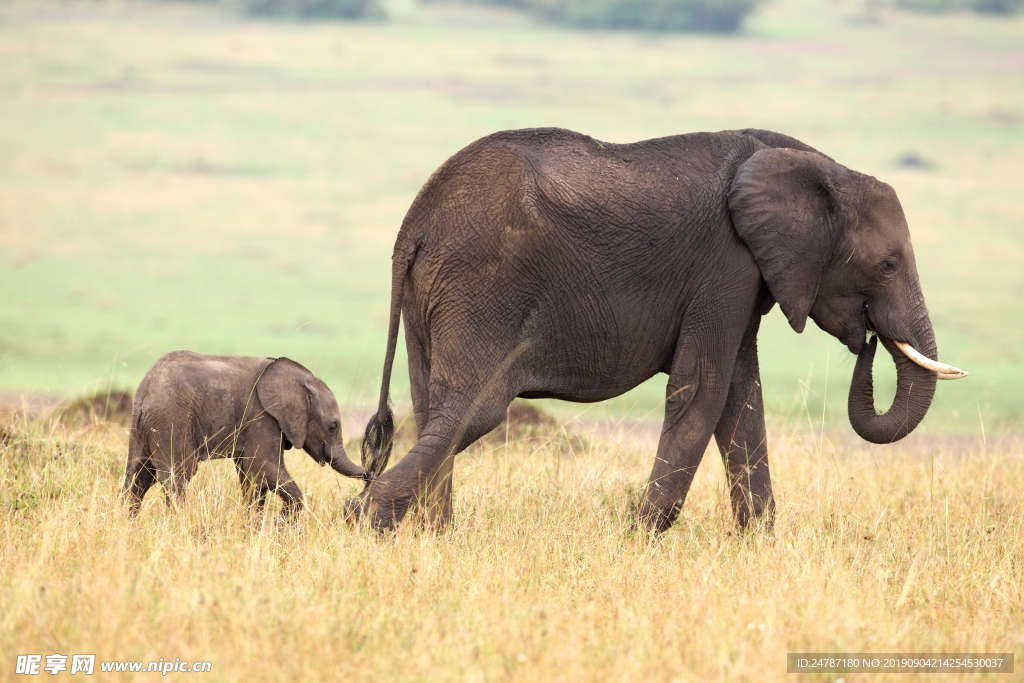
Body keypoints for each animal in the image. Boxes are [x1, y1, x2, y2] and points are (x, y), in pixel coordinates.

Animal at [122, 350, 368, 516]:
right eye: (333, 426)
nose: (370, 473)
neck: (299, 380)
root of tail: (145, 391)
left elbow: (251, 478)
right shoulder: (264, 418)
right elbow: (264, 467)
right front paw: (281, 525)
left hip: (143, 425)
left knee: (138, 476)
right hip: (172, 419)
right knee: (178, 476)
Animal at [348, 127, 962, 532]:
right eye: (888, 265)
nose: (868, 340)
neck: (819, 167)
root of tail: (414, 224)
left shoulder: (742, 278)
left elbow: (741, 400)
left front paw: (760, 544)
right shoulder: (727, 264)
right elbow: (702, 392)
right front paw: (640, 538)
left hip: (434, 295)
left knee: (433, 406)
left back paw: (434, 535)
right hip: (481, 283)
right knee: (474, 409)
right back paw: (366, 521)